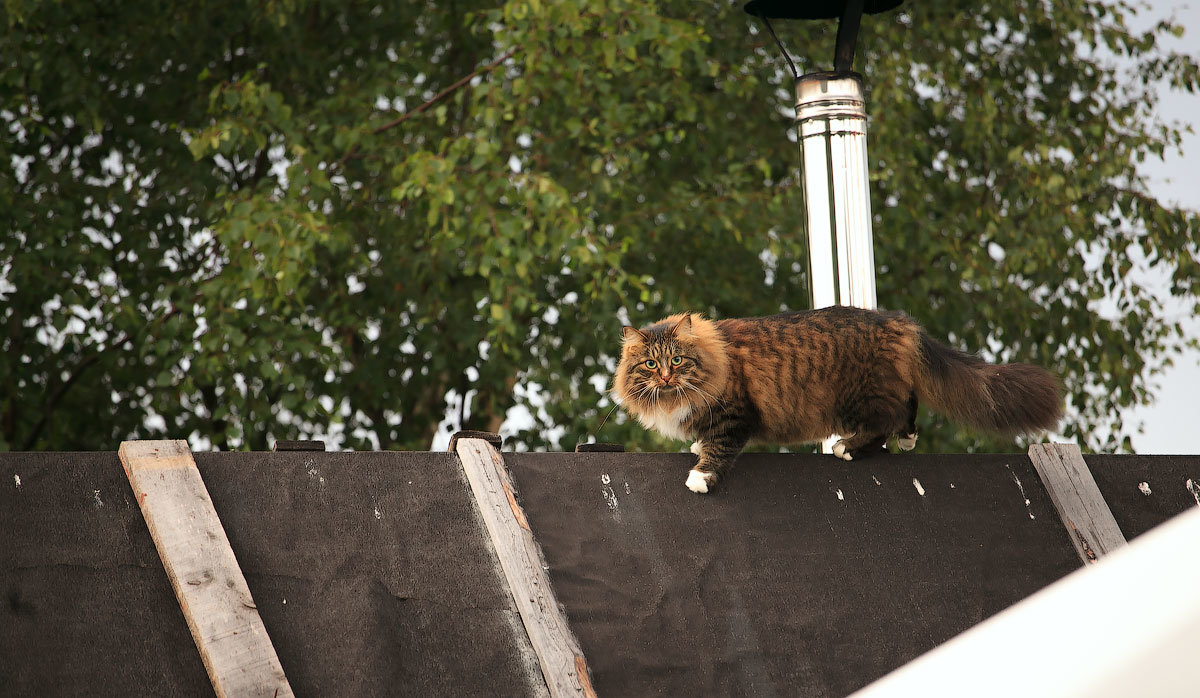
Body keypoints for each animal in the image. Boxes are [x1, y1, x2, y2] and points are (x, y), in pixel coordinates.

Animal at [614, 309, 1065, 494]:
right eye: (650, 364)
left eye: (676, 360)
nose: (666, 377)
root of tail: (899, 321)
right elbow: (705, 441)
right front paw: (696, 446)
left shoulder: (735, 416)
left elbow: (719, 450)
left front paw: (700, 477)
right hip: (885, 385)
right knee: (908, 406)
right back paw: (906, 440)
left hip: (859, 397)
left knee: (889, 417)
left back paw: (848, 448)